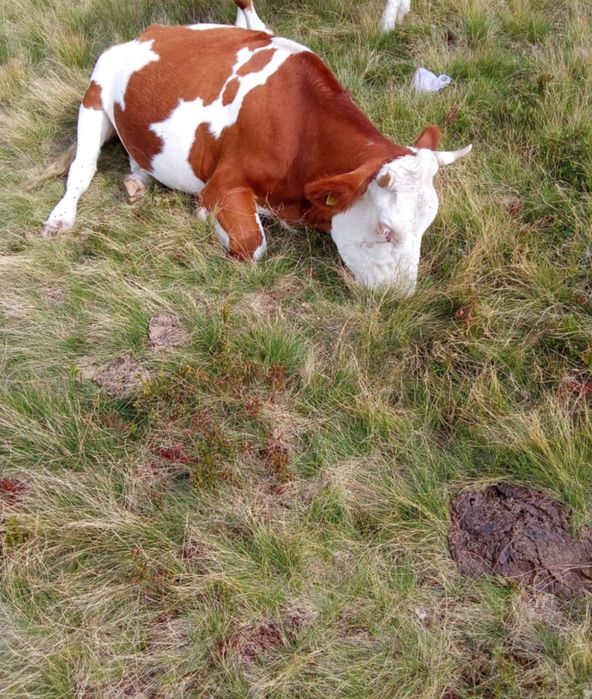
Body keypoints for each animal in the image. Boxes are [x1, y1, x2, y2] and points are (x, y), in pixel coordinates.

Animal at [42, 0, 471, 294]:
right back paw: (60, 218)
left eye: (427, 225)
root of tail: (150, 33)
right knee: (82, 169)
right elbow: (254, 244)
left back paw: (136, 183)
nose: (401, 298)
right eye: (385, 229)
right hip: (94, 97)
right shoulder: (220, 184)